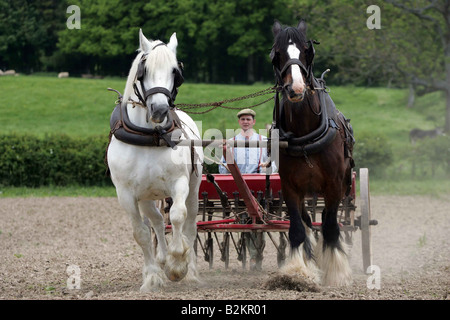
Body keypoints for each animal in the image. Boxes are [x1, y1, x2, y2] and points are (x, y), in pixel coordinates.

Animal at [107, 30, 202, 292]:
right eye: (144, 70)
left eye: (174, 71)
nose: (159, 109)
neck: (151, 136)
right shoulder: (126, 194)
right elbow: (140, 232)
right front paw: (151, 276)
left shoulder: (180, 183)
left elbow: (178, 216)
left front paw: (177, 264)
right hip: (147, 197)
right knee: (158, 222)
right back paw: (160, 258)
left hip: (194, 188)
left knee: (190, 224)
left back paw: (190, 271)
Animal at [270, 20, 356, 284]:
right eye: (277, 54)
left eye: (306, 51)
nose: (296, 88)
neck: (305, 132)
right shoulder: (289, 187)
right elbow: (298, 229)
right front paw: (297, 271)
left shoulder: (334, 184)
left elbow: (330, 227)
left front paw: (337, 272)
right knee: (308, 220)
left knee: (329, 219)